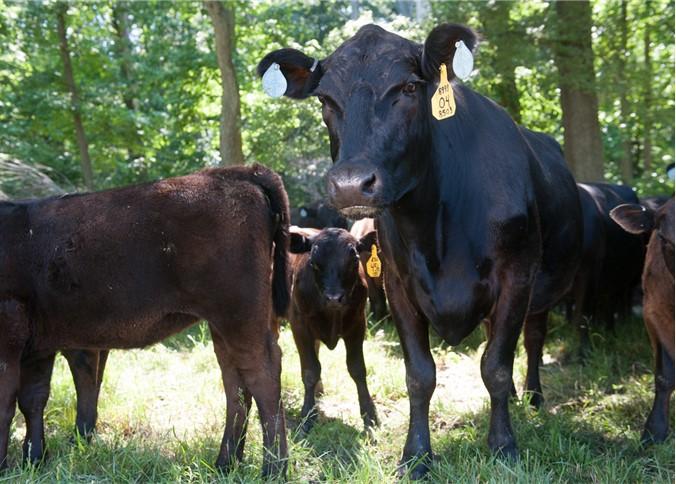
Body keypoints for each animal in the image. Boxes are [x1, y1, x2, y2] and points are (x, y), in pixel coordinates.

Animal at [0, 165, 290, 476]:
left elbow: (5, 403)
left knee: (263, 375)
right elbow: (33, 399)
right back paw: (226, 462)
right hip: (225, 324)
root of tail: (239, 172)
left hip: (238, 314)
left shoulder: (8, 334)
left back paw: (274, 468)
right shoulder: (38, 345)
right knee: (236, 383)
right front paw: (34, 459)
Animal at [286, 228, 378, 434]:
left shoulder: (358, 324)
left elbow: (357, 369)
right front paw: (307, 417)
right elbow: (310, 370)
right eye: (313, 262)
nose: (334, 298)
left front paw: (370, 417)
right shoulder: (299, 325)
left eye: (355, 260)